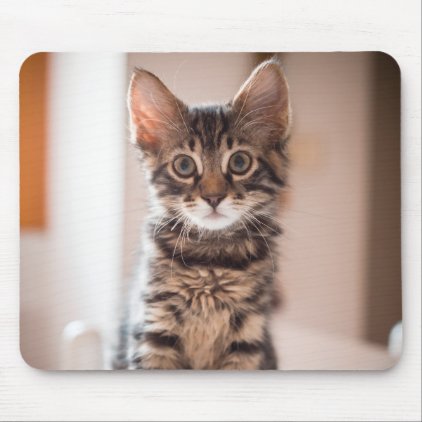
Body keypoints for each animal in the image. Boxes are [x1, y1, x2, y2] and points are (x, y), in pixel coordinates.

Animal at [113, 58, 292, 370]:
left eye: (240, 162)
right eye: (184, 166)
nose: (213, 197)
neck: (212, 259)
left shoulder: (248, 338)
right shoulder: (153, 331)